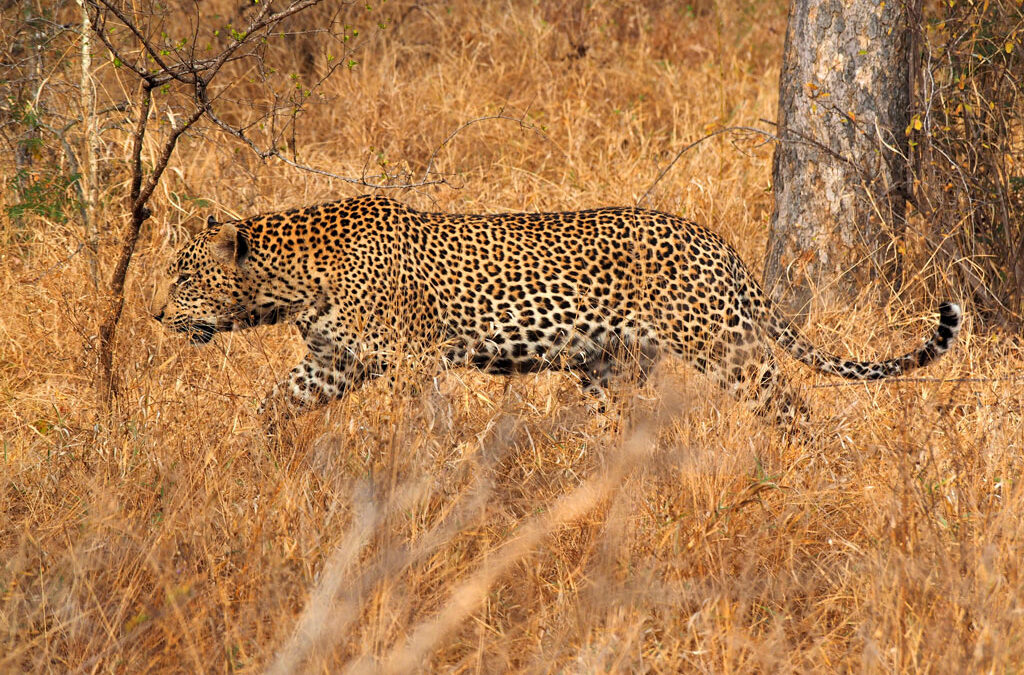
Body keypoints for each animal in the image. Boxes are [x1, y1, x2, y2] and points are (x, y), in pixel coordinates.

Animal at [152, 194, 962, 428]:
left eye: (183, 276)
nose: (157, 317)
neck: (292, 279)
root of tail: (717, 241)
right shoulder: (330, 362)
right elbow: (272, 403)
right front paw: (245, 458)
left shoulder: (412, 361)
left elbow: (420, 429)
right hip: (609, 366)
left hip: (722, 344)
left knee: (790, 404)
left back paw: (806, 466)